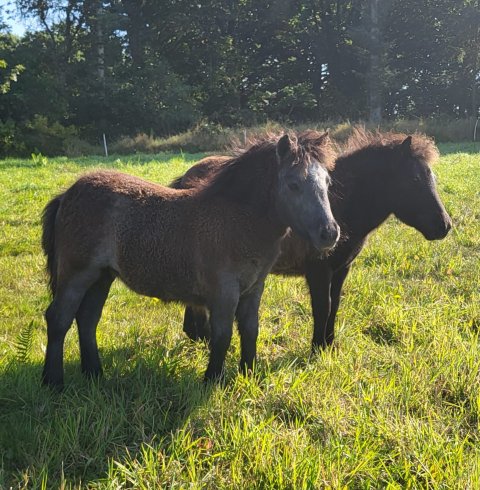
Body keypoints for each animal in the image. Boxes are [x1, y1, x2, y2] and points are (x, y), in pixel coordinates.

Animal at [42, 130, 342, 386]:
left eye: (327, 182)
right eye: (293, 184)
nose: (329, 233)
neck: (237, 221)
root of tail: (67, 194)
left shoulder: (253, 289)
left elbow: (250, 330)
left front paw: (248, 375)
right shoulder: (224, 293)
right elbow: (222, 335)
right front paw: (212, 380)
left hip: (101, 277)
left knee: (87, 319)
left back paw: (94, 373)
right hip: (77, 274)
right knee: (58, 318)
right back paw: (53, 381)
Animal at [175, 127, 450, 348]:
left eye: (432, 177)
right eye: (414, 179)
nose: (444, 226)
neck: (341, 204)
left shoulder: (341, 269)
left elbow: (334, 305)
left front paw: (329, 344)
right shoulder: (319, 270)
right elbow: (322, 307)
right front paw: (317, 347)